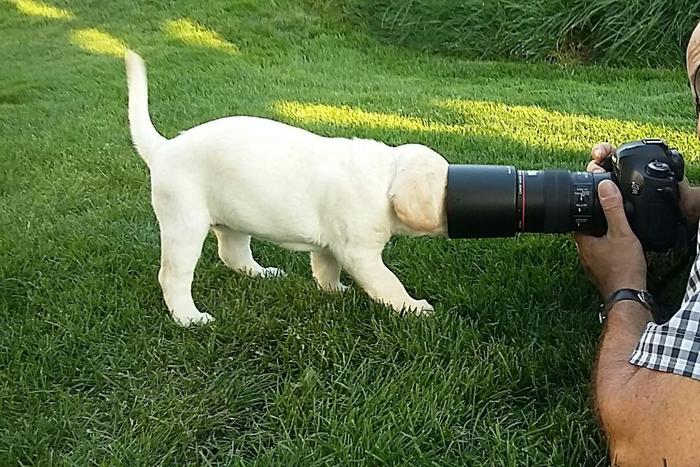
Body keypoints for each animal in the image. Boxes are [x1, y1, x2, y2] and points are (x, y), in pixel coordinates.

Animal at [123, 50, 446, 326]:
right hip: (184, 224)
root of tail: (164, 148)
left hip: (234, 218)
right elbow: (388, 284)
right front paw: (413, 307)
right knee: (173, 276)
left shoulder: (332, 245)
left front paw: (335, 290)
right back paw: (189, 319)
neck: (385, 176)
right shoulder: (360, 252)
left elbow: (325, 267)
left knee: (233, 255)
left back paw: (262, 274)